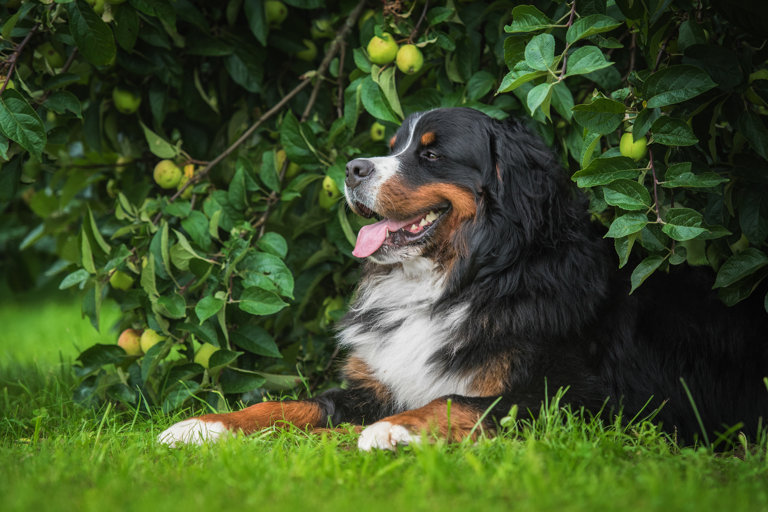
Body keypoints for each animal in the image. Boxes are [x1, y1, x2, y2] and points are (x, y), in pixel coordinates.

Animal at [158, 107, 768, 448]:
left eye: (431, 156)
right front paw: (207, 425)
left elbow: (460, 402)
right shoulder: (377, 382)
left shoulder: (591, 400)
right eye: (393, 146)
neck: (462, 280)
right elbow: (301, 404)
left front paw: (395, 430)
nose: (352, 169)